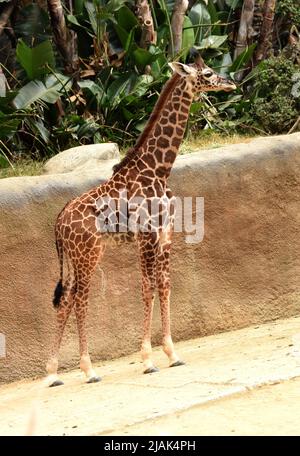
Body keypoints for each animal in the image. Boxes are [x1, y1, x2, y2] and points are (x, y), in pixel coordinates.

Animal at [45, 55, 236, 386]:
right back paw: (89, 370)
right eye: (209, 73)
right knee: (80, 300)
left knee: (65, 300)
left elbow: (165, 285)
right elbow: (147, 288)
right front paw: (147, 360)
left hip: (73, 258)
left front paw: (172, 354)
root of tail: (59, 221)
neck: (159, 169)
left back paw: (55, 373)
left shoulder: (166, 232)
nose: (231, 83)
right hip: (88, 254)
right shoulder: (146, 235)